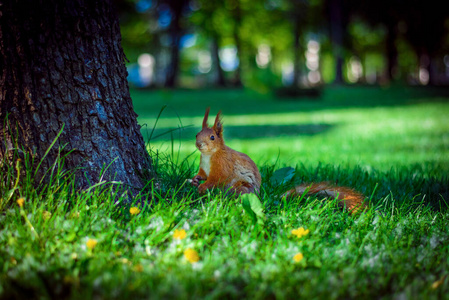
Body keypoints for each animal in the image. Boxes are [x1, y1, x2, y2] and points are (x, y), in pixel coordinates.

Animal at [191, 109, 366, 214]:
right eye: (197, 134)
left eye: (212, 137)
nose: (199, 144)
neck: (209, 155)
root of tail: (260, 196)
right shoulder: (204, 167)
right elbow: (202, 174)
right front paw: (195, 180)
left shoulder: (223, 165)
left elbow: (217, 178)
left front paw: (203, 186)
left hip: (242, 187)